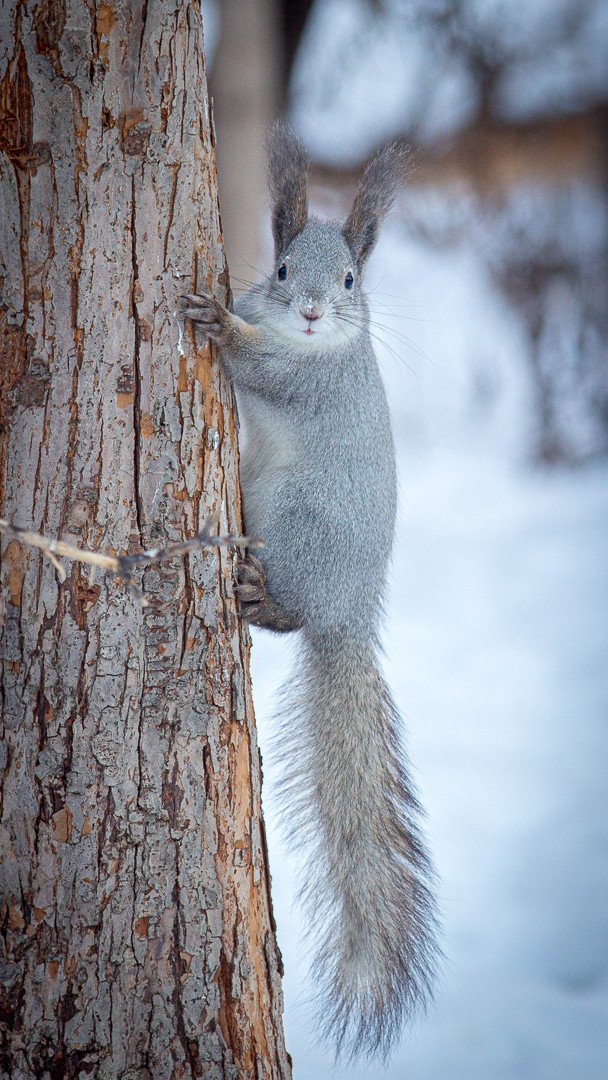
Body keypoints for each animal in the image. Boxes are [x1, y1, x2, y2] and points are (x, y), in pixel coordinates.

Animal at [178, 124, 440, 1054]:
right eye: (286, 267)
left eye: (354, 280)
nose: (316, 311)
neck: (315, 345)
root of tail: (349, 615)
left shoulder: (310, 378)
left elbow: (268, 371)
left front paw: (222, 326)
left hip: (295, 526)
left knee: (290, 617)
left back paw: (266, 600)